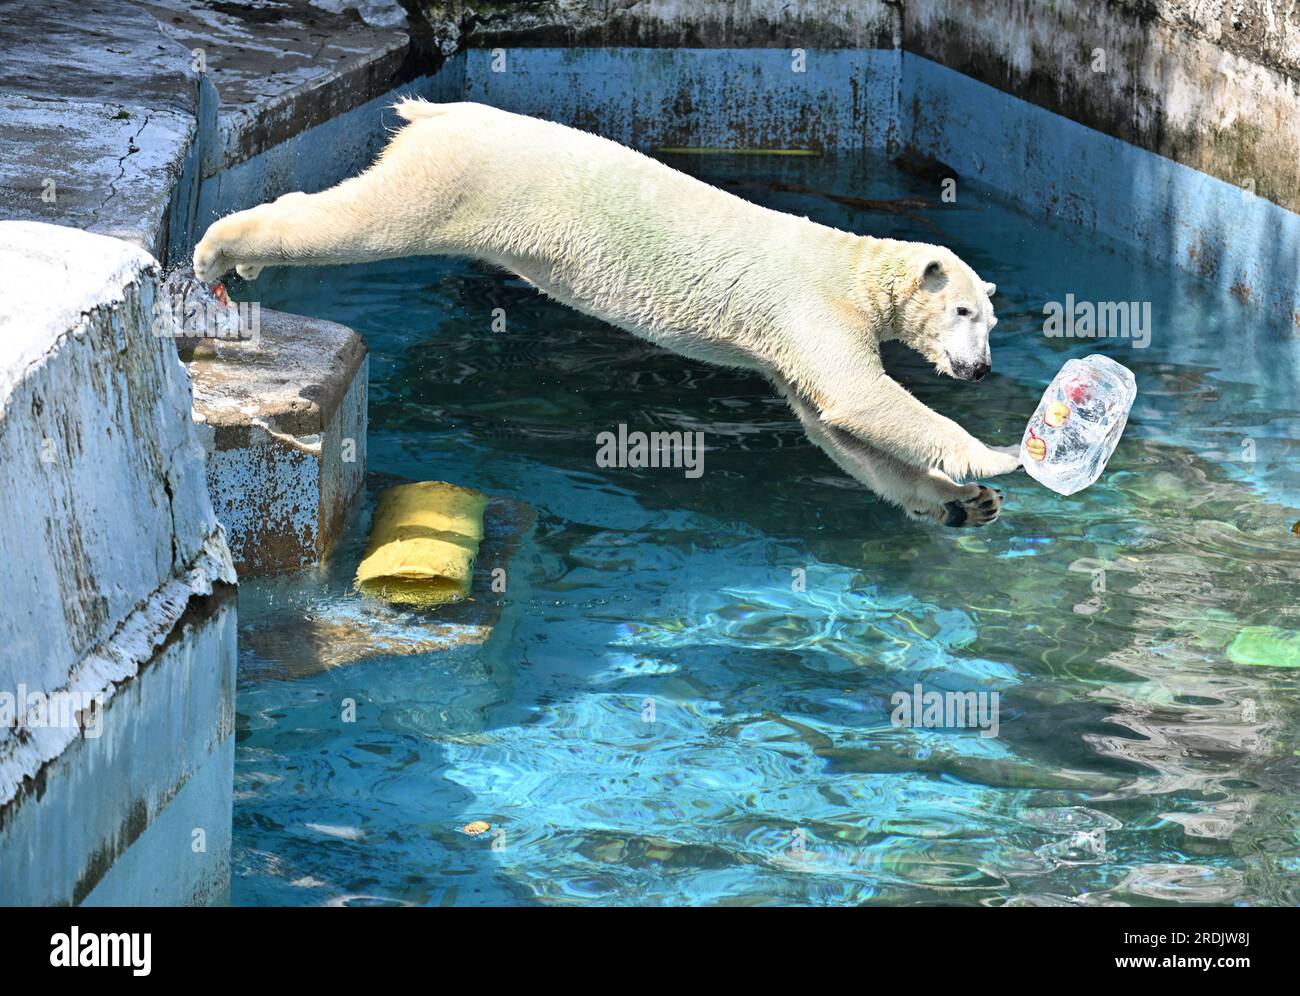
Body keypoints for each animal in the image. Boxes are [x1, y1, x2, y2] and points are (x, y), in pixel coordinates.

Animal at [194, 99, 1021, 526]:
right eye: (961, 310)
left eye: (989, 322)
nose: (979, 370)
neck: (851, 268)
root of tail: (437, 109)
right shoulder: (813, 309)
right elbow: (863, 396)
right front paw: (996, 457)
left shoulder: (792, 347)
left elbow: (835, 427)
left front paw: (966, 505)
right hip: (460, 181)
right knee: (362, 219)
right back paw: (216, 250)